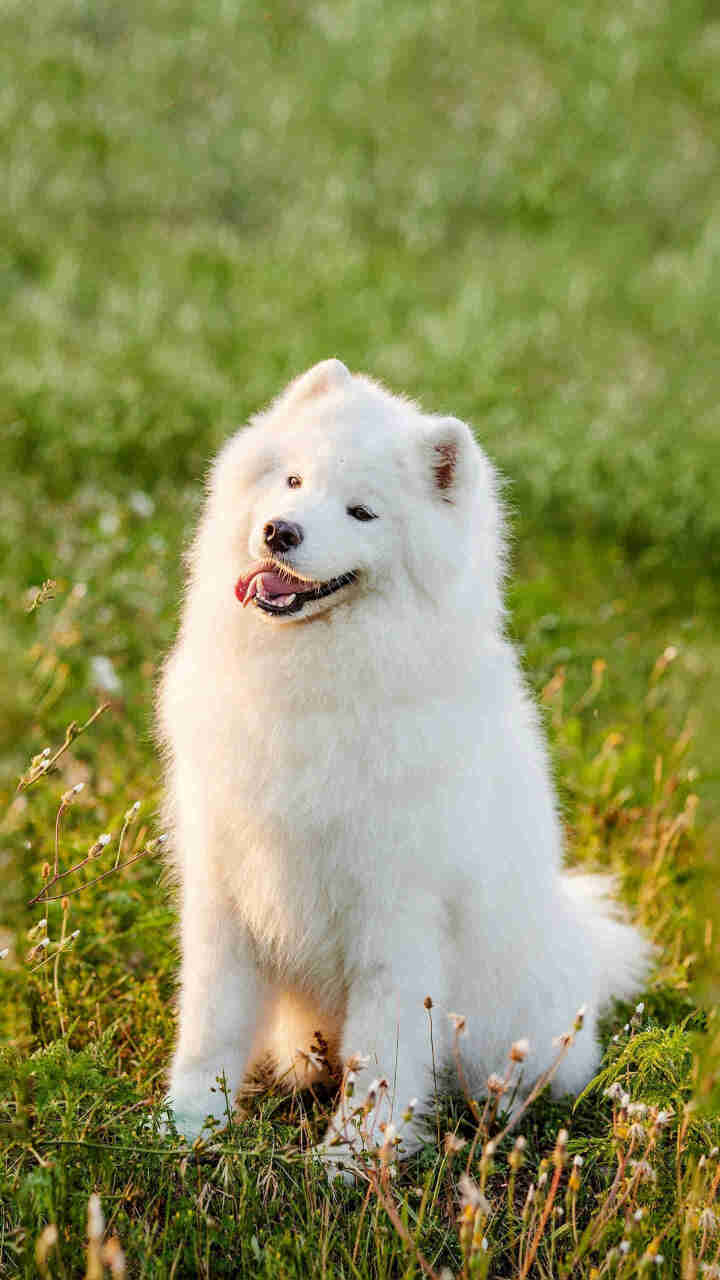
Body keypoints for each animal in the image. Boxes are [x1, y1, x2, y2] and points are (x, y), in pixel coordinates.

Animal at [158, 355, 650, 1167]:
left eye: (362, 512)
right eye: (292, 480)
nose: (280, 531)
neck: (314, 683)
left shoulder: (398, 913)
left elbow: (382, 1051)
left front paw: (351, 1159)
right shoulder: (228, 886)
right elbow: (211, 1025)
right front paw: (187, 1125)